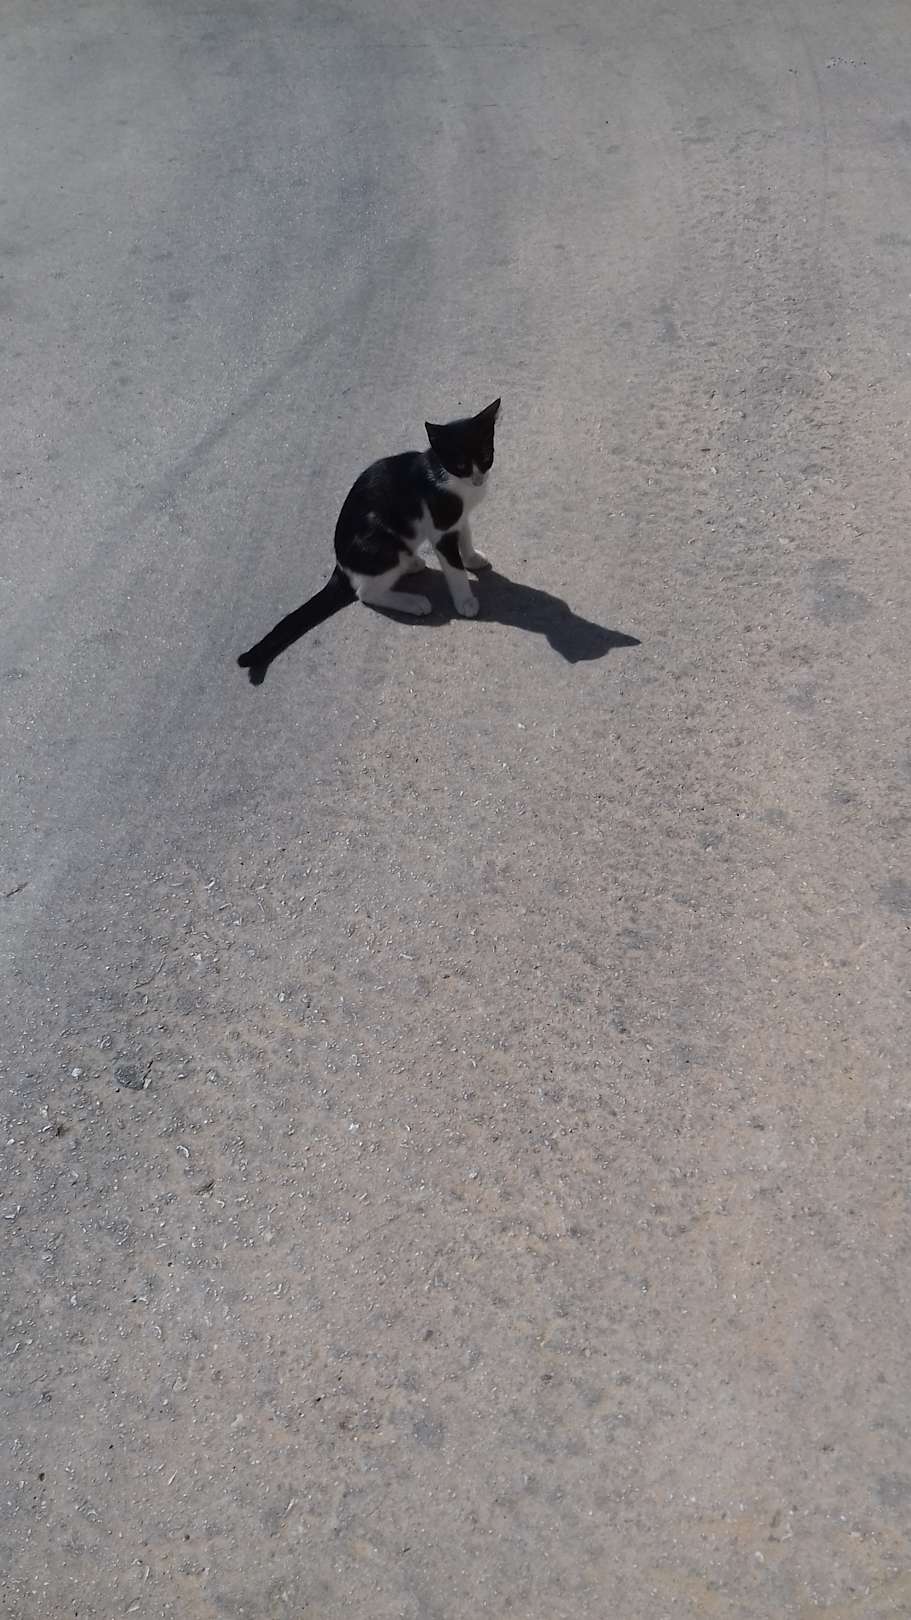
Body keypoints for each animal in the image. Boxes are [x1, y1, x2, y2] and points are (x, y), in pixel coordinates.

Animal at [237, 397, 500, 684]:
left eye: (486, 457)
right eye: (461, 465)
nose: (478, 479)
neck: (443, 474)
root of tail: (341, 567)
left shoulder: (457, 519)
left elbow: (465, 536)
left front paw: (472, 558)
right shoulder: (441, 527)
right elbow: (454, 569)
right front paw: (465, 599)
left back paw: (414, 565)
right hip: (386, 546)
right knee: (365, 593)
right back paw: (412, 601)